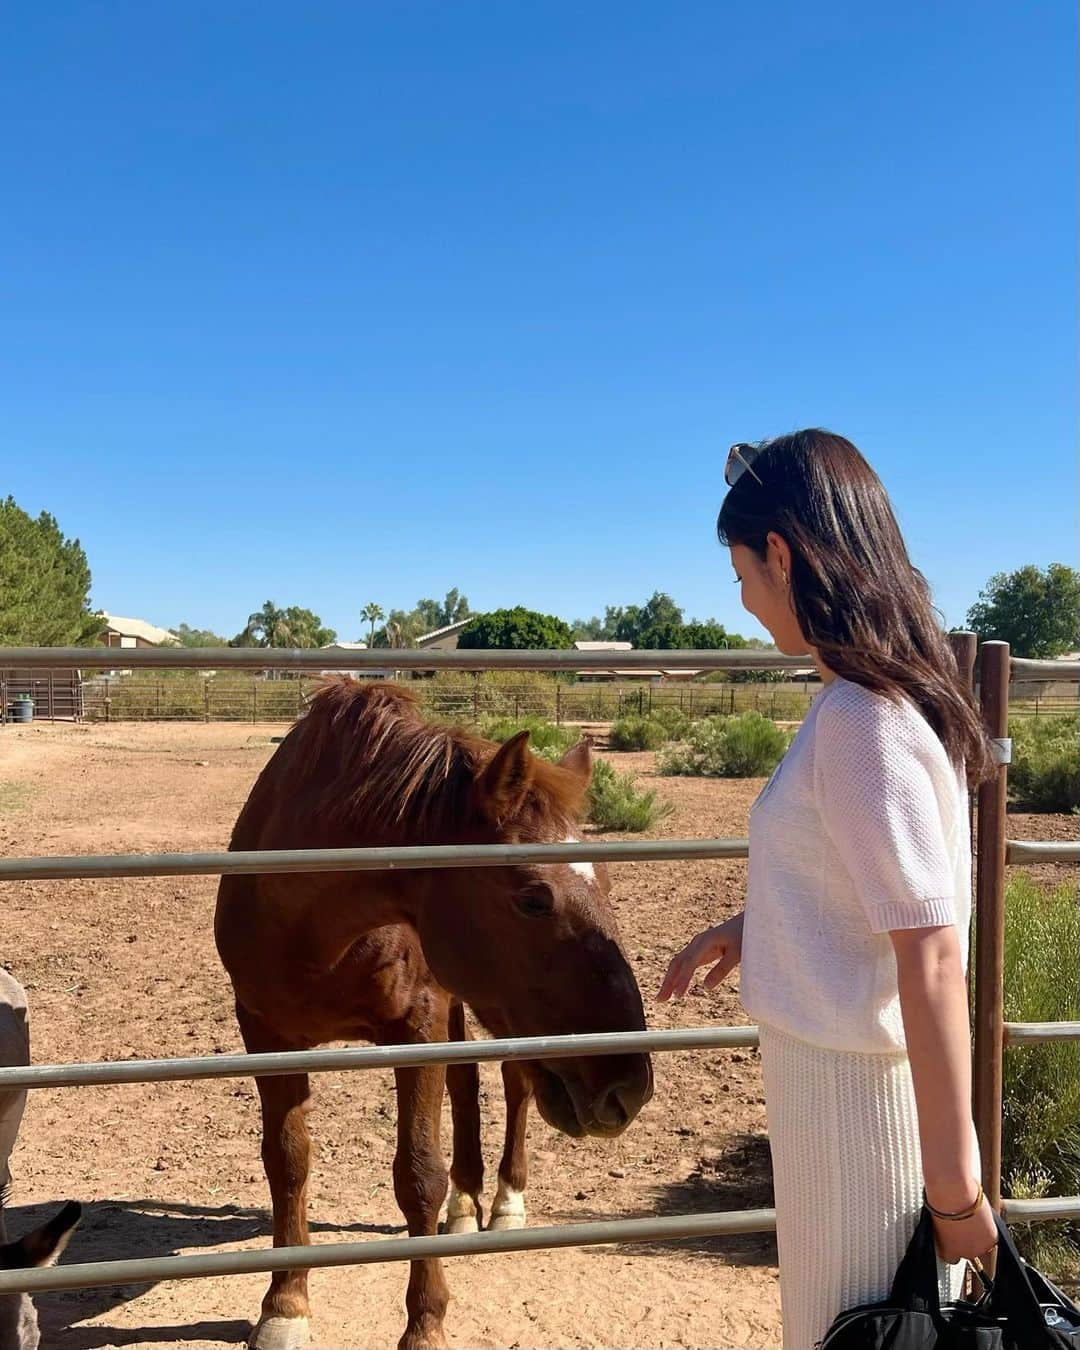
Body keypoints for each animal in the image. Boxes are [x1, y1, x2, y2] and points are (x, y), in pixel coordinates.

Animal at [210, 680, 650, 1350]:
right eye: (533, 898)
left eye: (603, 879)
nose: (629, 1087)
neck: (313, 925)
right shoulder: (265, 1031)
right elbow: (286, 1163)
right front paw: (285, 1307)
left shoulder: (416, 1026)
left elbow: (418, 1175)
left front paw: (425, 1324)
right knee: (468, 1084)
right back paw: (467, 1205)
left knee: (515, 1084)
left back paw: (505, 1201)